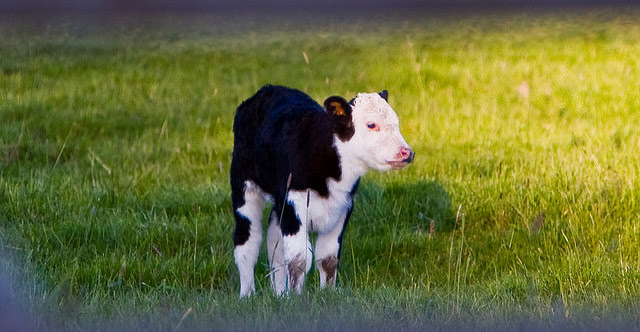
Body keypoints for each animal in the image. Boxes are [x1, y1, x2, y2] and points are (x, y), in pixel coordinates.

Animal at [231, 84, 416, 296]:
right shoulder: (293, 202)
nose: (407, 152)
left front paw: (326, 293)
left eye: (396, 122)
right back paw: (247, 294)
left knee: (274, 245)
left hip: (279, 203)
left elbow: (327, 258)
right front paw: (296, 297)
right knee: (247, 244)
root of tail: (266, 90)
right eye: (371, 125)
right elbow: (299, 258)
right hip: (244, 188)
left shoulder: (342, 206)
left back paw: (279, 293)